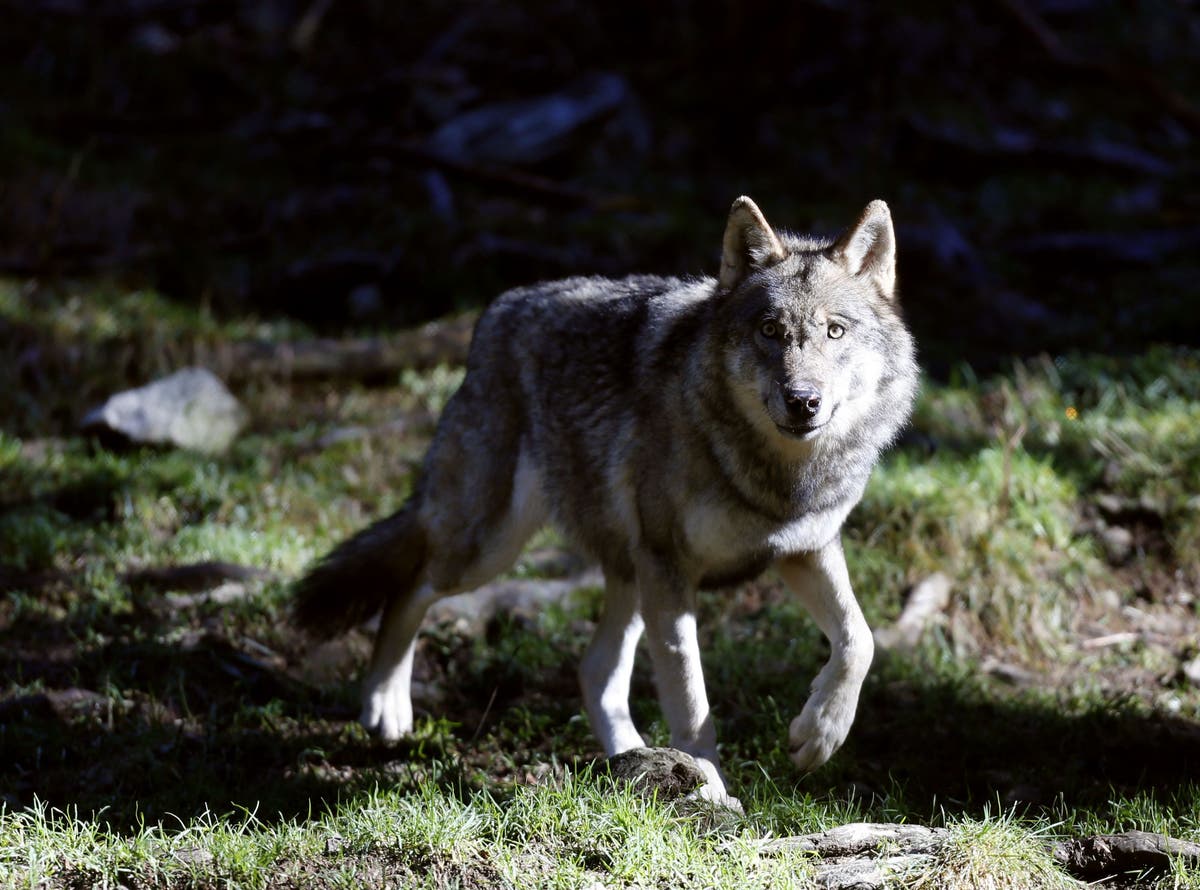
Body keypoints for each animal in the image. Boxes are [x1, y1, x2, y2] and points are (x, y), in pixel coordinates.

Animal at [294, 197, 919, 804]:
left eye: (834, 331)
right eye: (769, 329)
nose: (802, 400)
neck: (776, 476)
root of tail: (498, 311)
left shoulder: (804, 549)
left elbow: (858, 640)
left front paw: (819, 735)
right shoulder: (670, 566)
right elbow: (692, 700)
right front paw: (712, 790)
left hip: (624, 575)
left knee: (594, 670)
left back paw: (629, 761)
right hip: (489, 549)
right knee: (410, 586)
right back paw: (385, 704)